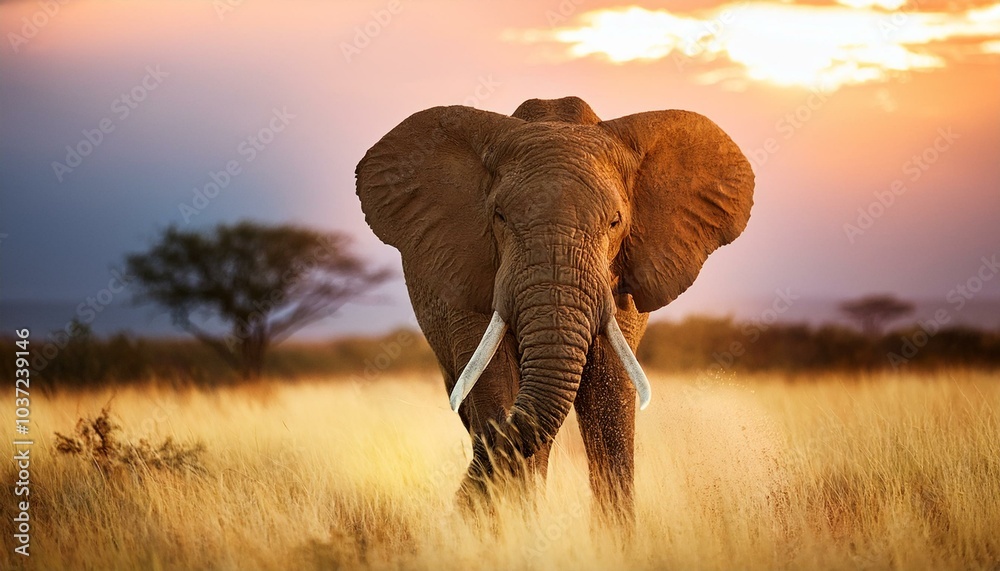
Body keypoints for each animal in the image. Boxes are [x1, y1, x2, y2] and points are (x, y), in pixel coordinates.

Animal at [355, 96, 754, 524]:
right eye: (499, 217)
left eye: (615, 222)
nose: (454, 509)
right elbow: (496, 385)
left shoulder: (620, 285)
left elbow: (608, 397)